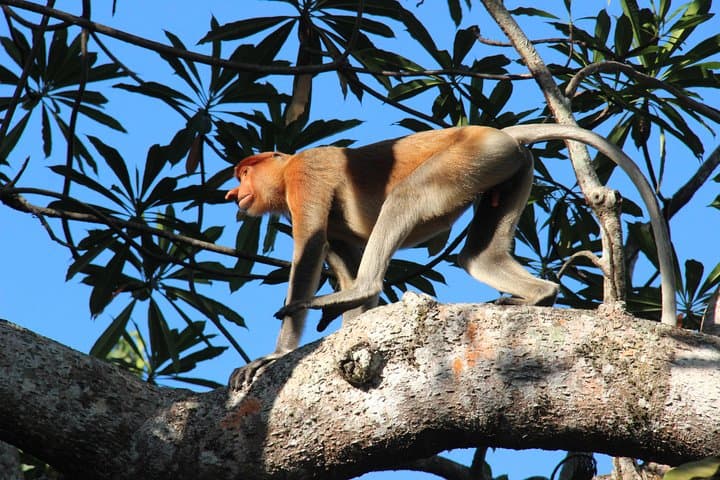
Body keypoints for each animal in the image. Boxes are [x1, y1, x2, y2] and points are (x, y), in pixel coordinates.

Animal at [226, 124, 675, 388]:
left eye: (245, 173)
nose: (233, 193)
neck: (285, 173)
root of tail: (501, 132)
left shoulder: (306, 177)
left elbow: (309, 252)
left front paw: (274, 355)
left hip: (467, 159)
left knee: (405, 198)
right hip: (509, 168)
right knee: (479, 256)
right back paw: (537, 295)